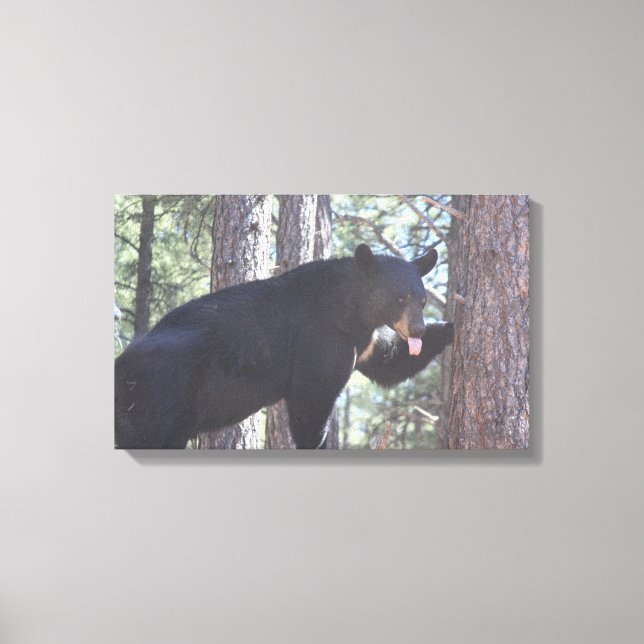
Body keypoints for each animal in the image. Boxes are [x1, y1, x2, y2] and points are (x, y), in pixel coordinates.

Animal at [114, 244, 454, 449]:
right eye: (400, 298)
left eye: (422, 300)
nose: (418, 328)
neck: (350, 311)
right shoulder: (321, 339)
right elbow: (312, 399)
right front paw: (316, 442)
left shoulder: (362, 340)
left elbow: (387, 364)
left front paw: (449, 328)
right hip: (164, 393)